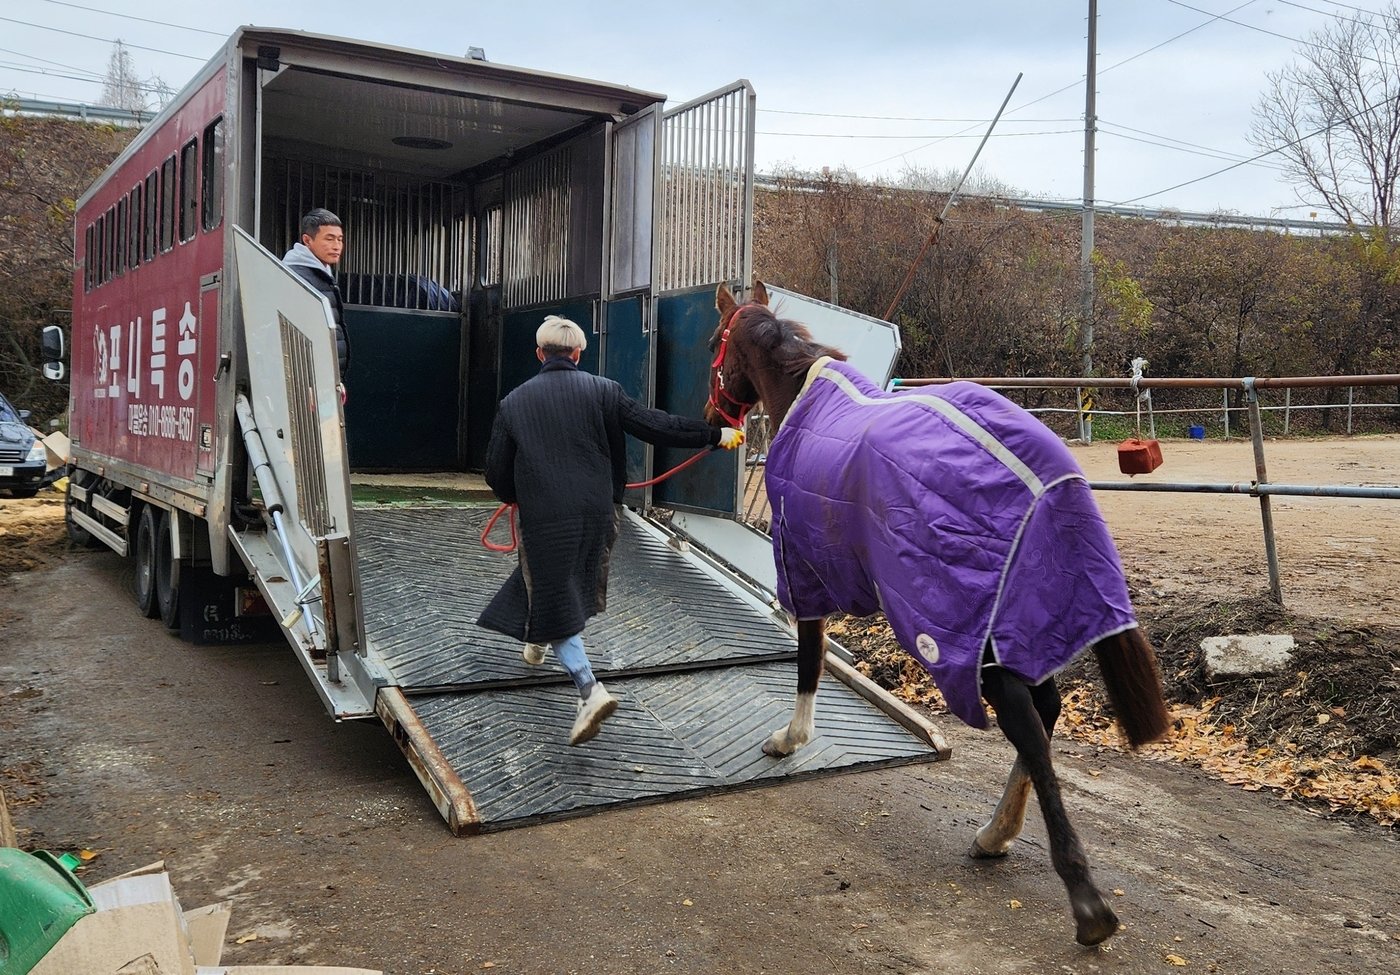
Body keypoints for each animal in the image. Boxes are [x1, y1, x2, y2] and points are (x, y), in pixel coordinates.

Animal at [700, 280, 1170, 946]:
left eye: (716, 342)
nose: (713, 417)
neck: (804, 398)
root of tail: (1049, 477)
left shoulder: (804, 570)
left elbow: (809, 661)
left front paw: (790, 740)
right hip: (1023, 620)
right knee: (1045, 712)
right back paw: (996, 835)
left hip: (967, 633)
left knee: (1029, 722)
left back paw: (1085, 901)